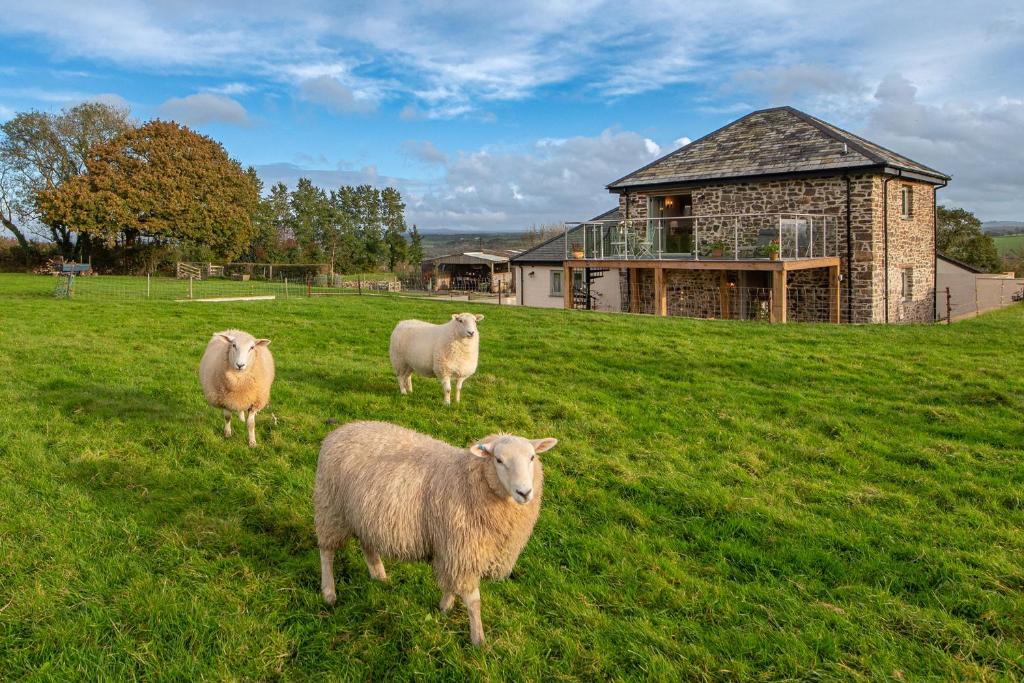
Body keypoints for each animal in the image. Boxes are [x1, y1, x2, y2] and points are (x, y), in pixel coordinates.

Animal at [314, 420, 558, 646]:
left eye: (532, 458)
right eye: (498, 460)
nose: (524, 492)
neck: (467, 481)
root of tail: (341, 430)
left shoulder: (453, 549)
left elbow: (451, 584)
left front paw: (444, 607)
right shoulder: (462, 549)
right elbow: (473, 601)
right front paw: (478, 639)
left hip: (363, 514)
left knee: (367, 544)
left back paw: (379, 575)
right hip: (330, 508)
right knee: (326, 552)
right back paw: (329, 593)